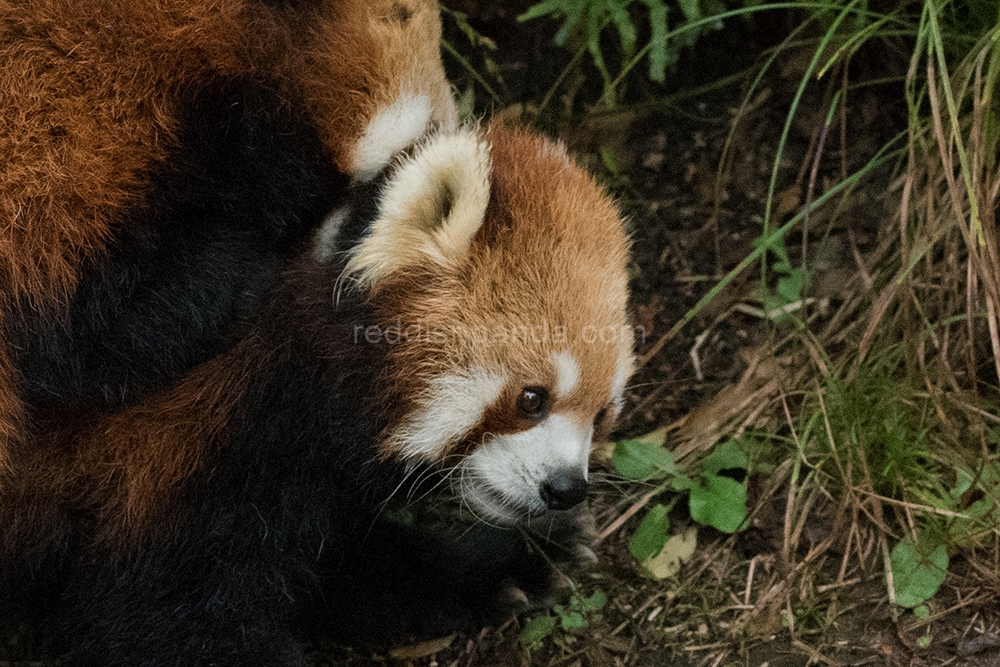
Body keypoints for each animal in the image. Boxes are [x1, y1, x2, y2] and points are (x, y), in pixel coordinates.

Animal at [1, 124, 632, 664]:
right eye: (532, 398)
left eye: (602, 414)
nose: (565, 488)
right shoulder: (181, 457)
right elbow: (175, 621)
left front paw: (507, 564)